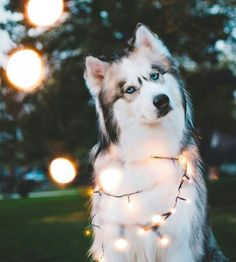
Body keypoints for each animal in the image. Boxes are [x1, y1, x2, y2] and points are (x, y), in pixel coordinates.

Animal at [84, 24, 226, 262]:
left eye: (154, 75)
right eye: (130, 89)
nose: (161, 100)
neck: (150, 150)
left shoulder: (179, 244)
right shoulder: (116, 244)